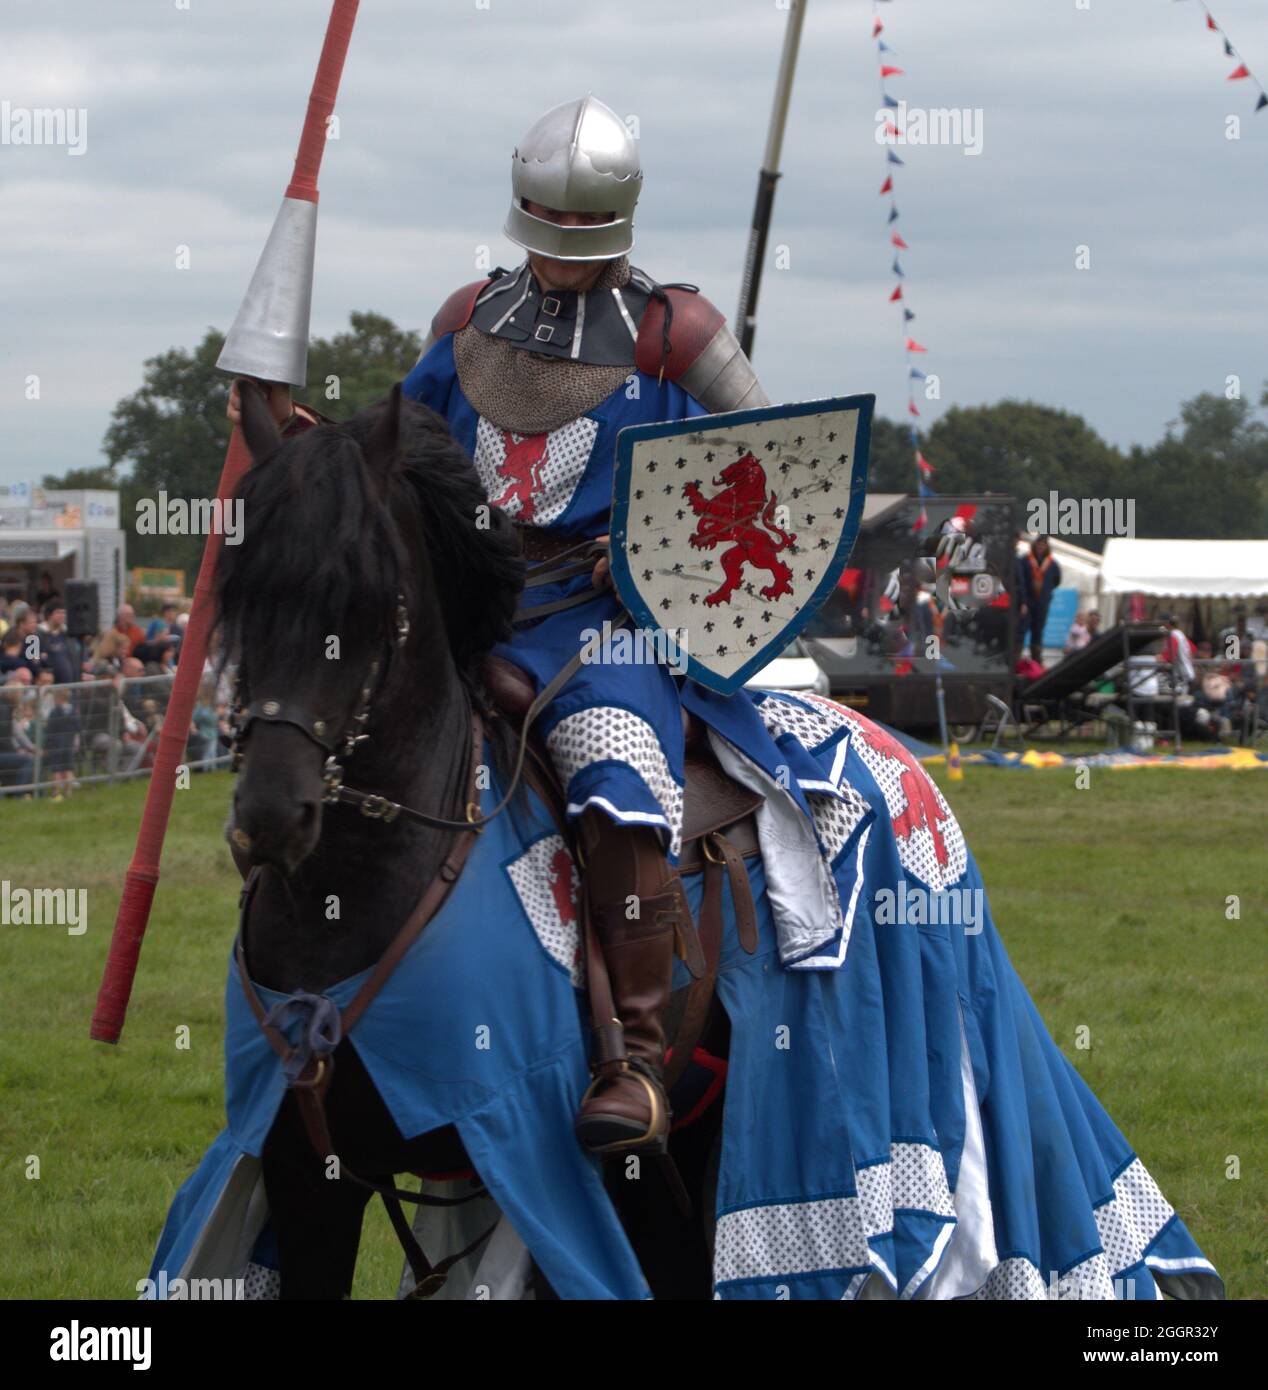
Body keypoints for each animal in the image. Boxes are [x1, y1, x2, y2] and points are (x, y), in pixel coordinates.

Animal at [218, 383, 722, 1301]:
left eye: (363, 597)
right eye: (241, 592)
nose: (270, 815)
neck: (349, 895)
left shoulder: (524, 1148)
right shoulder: (310, 1177)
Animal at [678, 453, 795, 606]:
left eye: (742, 465)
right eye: (738, 461)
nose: (722, 472)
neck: (738, 496)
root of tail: (771, 542)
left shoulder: (727, 524)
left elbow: (711, 530)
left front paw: (699, 539)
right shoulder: (708, 508)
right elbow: (700, 504)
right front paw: (691, 488)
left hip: (759, 557)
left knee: (777, 567)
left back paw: (774, 591)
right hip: (737, 555)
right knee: (732, 572)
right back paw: (716, 596)